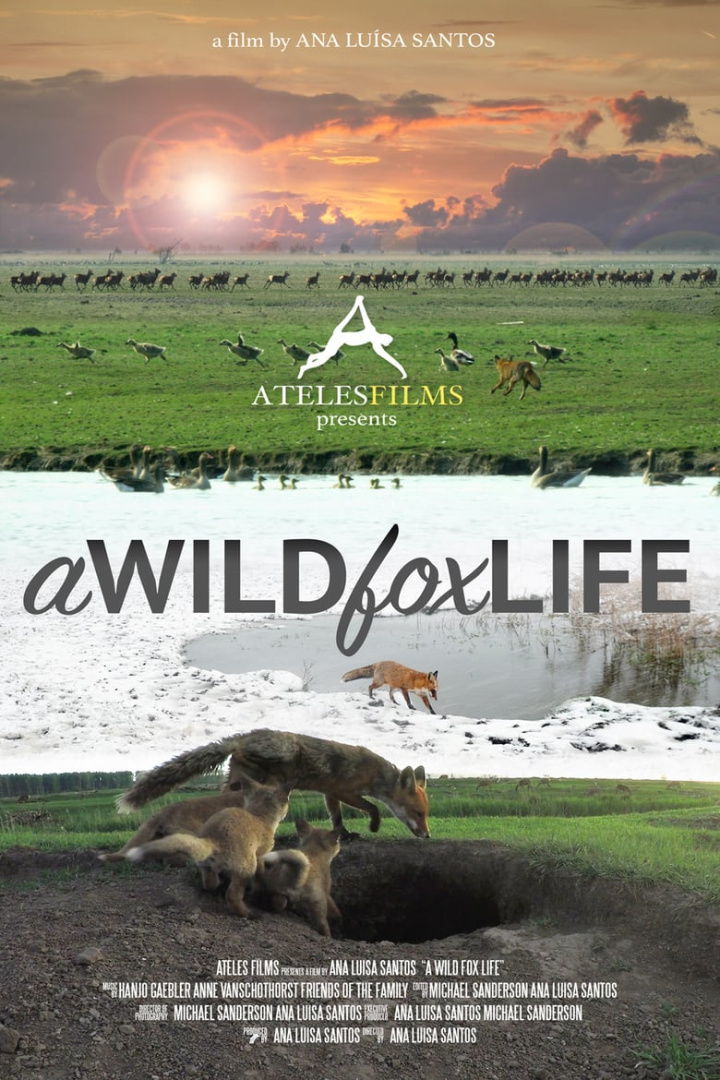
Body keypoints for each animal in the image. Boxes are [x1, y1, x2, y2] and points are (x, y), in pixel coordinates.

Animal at [117, 728, 430, 839]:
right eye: (418, 813)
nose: (427, 835)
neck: (374, 773)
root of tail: (242, 737)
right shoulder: (345, 790)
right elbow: (373, 808)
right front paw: (374, 825)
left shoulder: (331, 792)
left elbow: (336, 817)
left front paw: (344, 834)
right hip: (284, 755)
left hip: (240, 782)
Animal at [124, 777, 292, 918]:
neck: (259, 816)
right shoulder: (261, 854)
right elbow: (260, 874)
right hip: (243, 867)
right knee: (231, 895)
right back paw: (248, 913)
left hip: (199, 857)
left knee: (207, 881)